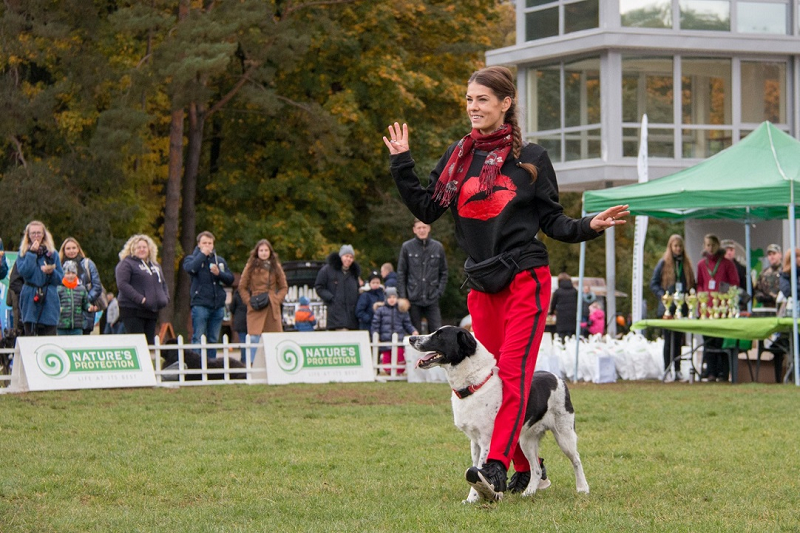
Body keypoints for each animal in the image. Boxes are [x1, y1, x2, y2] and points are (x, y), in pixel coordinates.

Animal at [412, 324, 588, 502]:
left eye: (440, 335)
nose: (411, 338)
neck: (475, 385)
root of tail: (558, 378)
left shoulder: (487, 442)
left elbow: (480, 467)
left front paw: (479, 493)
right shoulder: (474, 443)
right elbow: (474, 467)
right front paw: (472, 499)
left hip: (564, 435)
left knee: (576, 460)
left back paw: (583, 488)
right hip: (526, 441)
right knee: (536, 469)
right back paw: (529, 492)